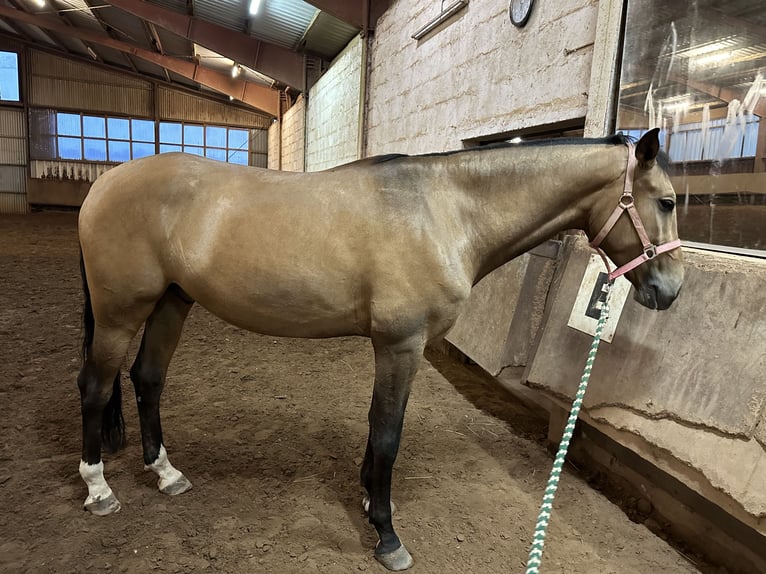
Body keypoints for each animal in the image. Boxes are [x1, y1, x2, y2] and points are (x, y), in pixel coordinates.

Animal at [73, 128, 684, 572]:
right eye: (668, 201)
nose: (670, 290)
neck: (443, 212)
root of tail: (105, 183)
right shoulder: (401, 345)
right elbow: (389, 434)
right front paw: (388, 536)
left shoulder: (392, 349)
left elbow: (375, 426)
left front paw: (369, 502)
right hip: (121, 313)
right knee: (95, 386)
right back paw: (99, 488)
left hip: (172, 303)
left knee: (148, 379)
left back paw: (165, 472)